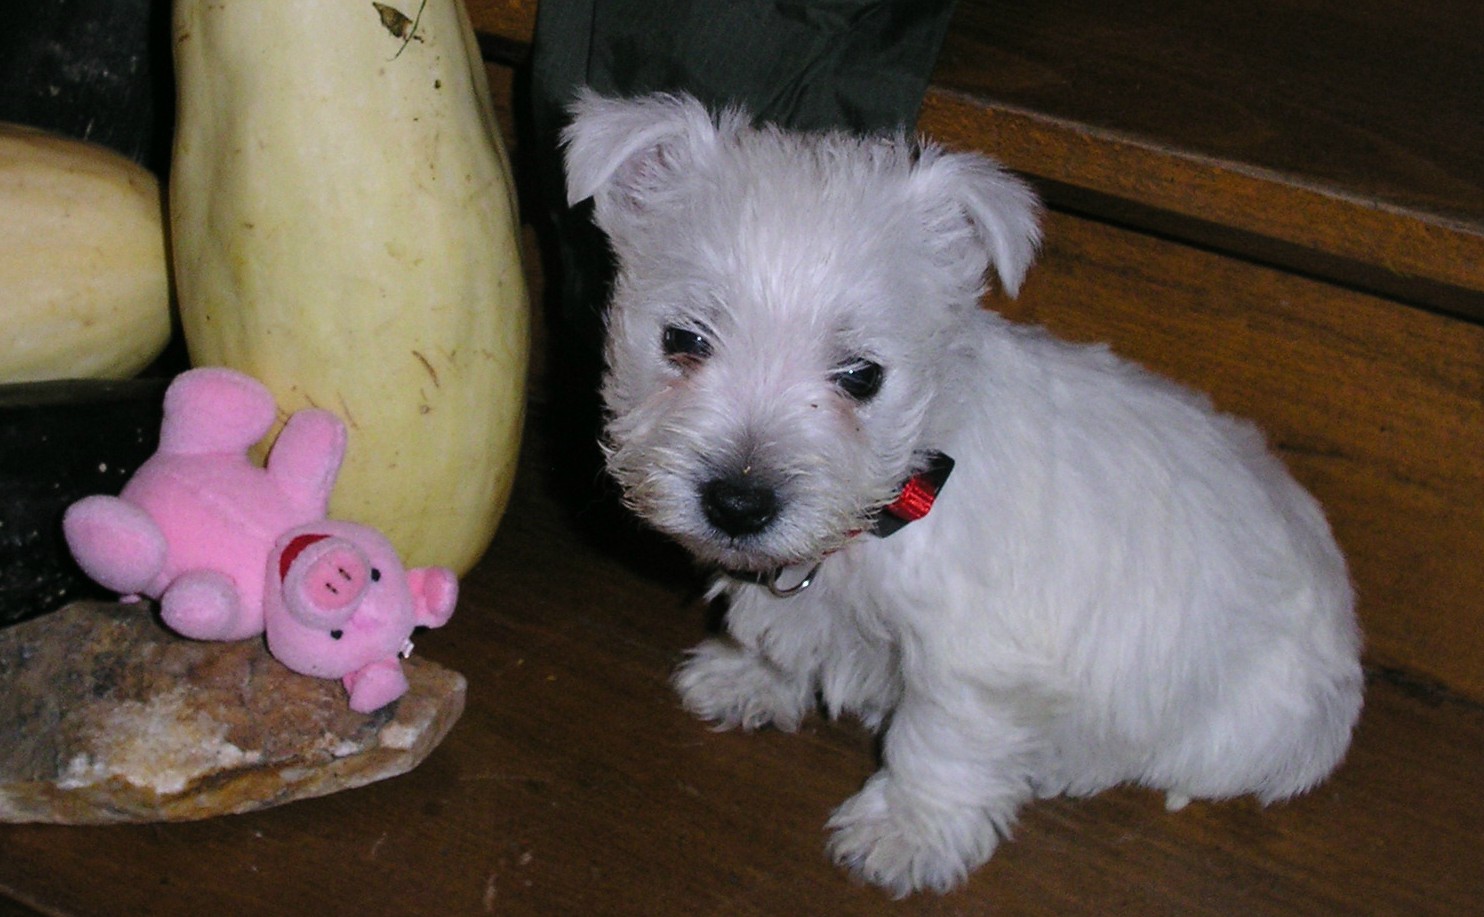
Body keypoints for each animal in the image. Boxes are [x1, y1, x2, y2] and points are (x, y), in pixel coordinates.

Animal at [560, 92, 1359, 890]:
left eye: (862, 375)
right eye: (683, 338)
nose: (739, 503)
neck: (901, 491)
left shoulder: (976, 658)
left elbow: (938, 738)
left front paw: (903, 833)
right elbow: (781, 634)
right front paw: (747, 678)